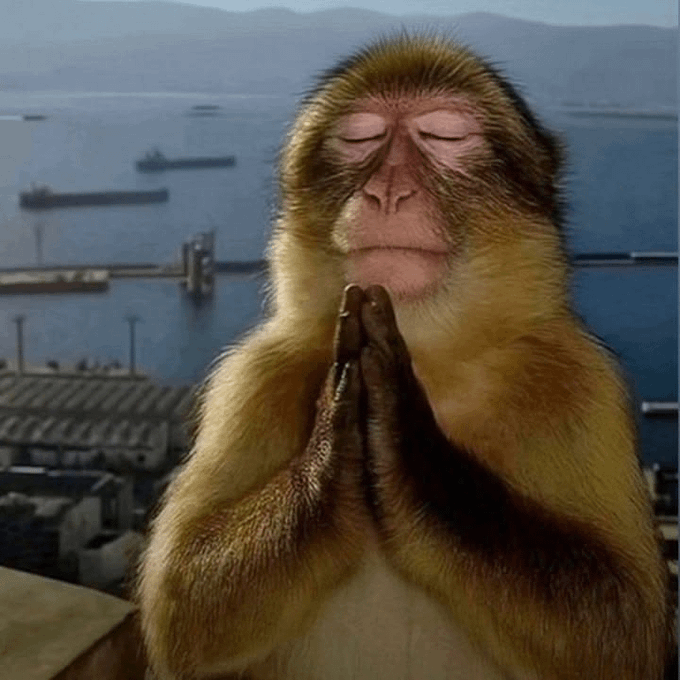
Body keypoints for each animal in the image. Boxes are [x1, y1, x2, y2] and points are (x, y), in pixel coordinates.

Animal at [136, 34, 675, 680]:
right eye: (360, 137)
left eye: (445, 135)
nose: (388, 190)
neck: (435, 358)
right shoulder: (250, 376)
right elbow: (183, 607)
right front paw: (333, 453)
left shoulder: (580, 381)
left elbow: (624, 627)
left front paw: (406, 442)